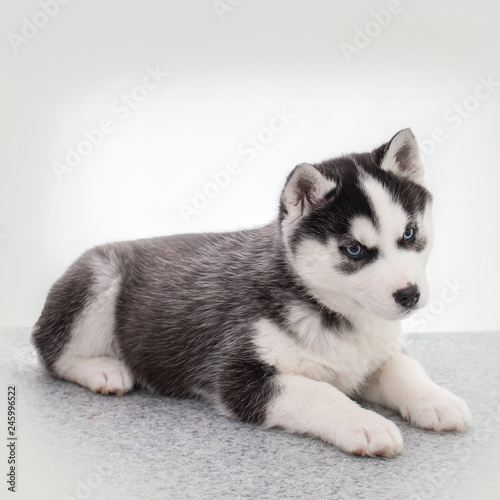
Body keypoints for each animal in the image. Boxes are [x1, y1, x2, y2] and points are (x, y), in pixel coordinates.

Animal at [33, 129, 470, 458]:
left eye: (409, 234)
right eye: (354, 250)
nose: (409, 295)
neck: (330, 309)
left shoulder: (375, 356)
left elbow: (404, 370)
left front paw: (437, 400)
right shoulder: (237, 375)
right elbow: (319, 392)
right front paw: (365, 422)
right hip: (98, 280)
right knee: (52, 352)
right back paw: (102, 370)